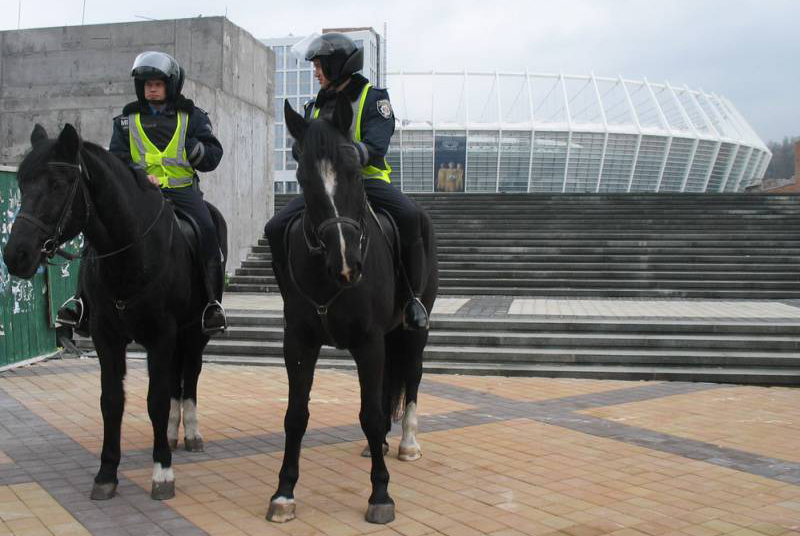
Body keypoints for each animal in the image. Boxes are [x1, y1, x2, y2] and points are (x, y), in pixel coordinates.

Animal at [1, 125, 227, 502]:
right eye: (21, 183)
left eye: (58, 184)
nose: (16, 255)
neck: (131, 253)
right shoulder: (106, 337)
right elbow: (112, 401)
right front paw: (107, 473)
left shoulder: (162, 335)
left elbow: (156, 399)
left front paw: (162, 472)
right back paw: (169, 434)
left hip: (195, 332)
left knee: (190, 375)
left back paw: (190, 433)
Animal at [266, 97, 438, 524]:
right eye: (302, 178)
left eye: (357, 175)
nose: (346, 265)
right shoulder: (299, 343)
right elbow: (296, 415)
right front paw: (284, 492)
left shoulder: (368, 341)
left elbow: (371, 415)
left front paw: (380, 494)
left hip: (414, 328)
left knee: (412, 375)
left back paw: (408, 443)